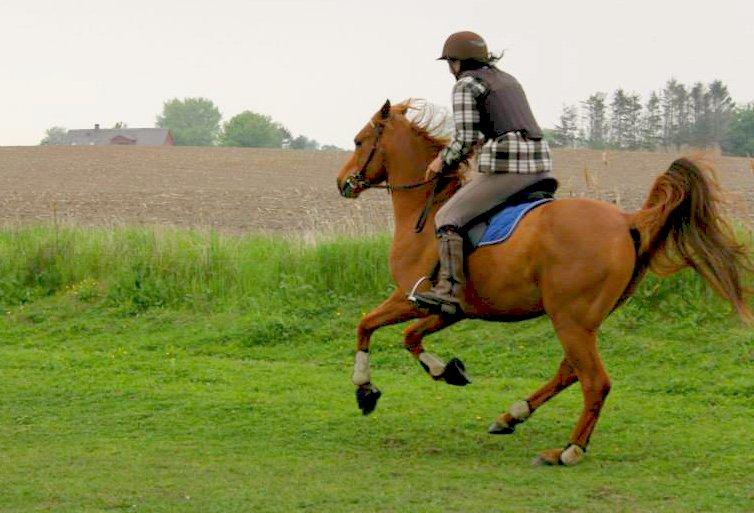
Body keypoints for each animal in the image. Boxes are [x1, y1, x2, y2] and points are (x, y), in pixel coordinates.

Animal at [334, 99, 752, 464]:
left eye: (358, 141)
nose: (342, 183)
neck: (426, 209)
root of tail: (627, 220)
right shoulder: (450, 309)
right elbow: (408, 336)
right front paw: (446, 370)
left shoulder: (411, 297)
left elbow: (366, 324)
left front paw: (365, 389)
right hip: (583, 321)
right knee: (570, 372)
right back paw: (512, 415)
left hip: (570, 319)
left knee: (594, 381)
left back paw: (567, 451)